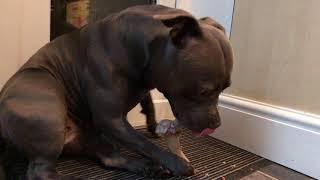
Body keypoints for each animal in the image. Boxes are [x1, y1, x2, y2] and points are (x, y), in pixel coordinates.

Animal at [0, 4, 232, 179]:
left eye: (226, 87)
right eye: (204, 91)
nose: (216, 124)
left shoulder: (141, 89)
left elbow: (147, 107)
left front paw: (153, 125)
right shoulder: (111, 119)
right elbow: (145, 144)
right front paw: (177, 163)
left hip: (89, 137)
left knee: (110, 157)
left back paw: (145, 167)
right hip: (46, 102)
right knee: (40, 171)